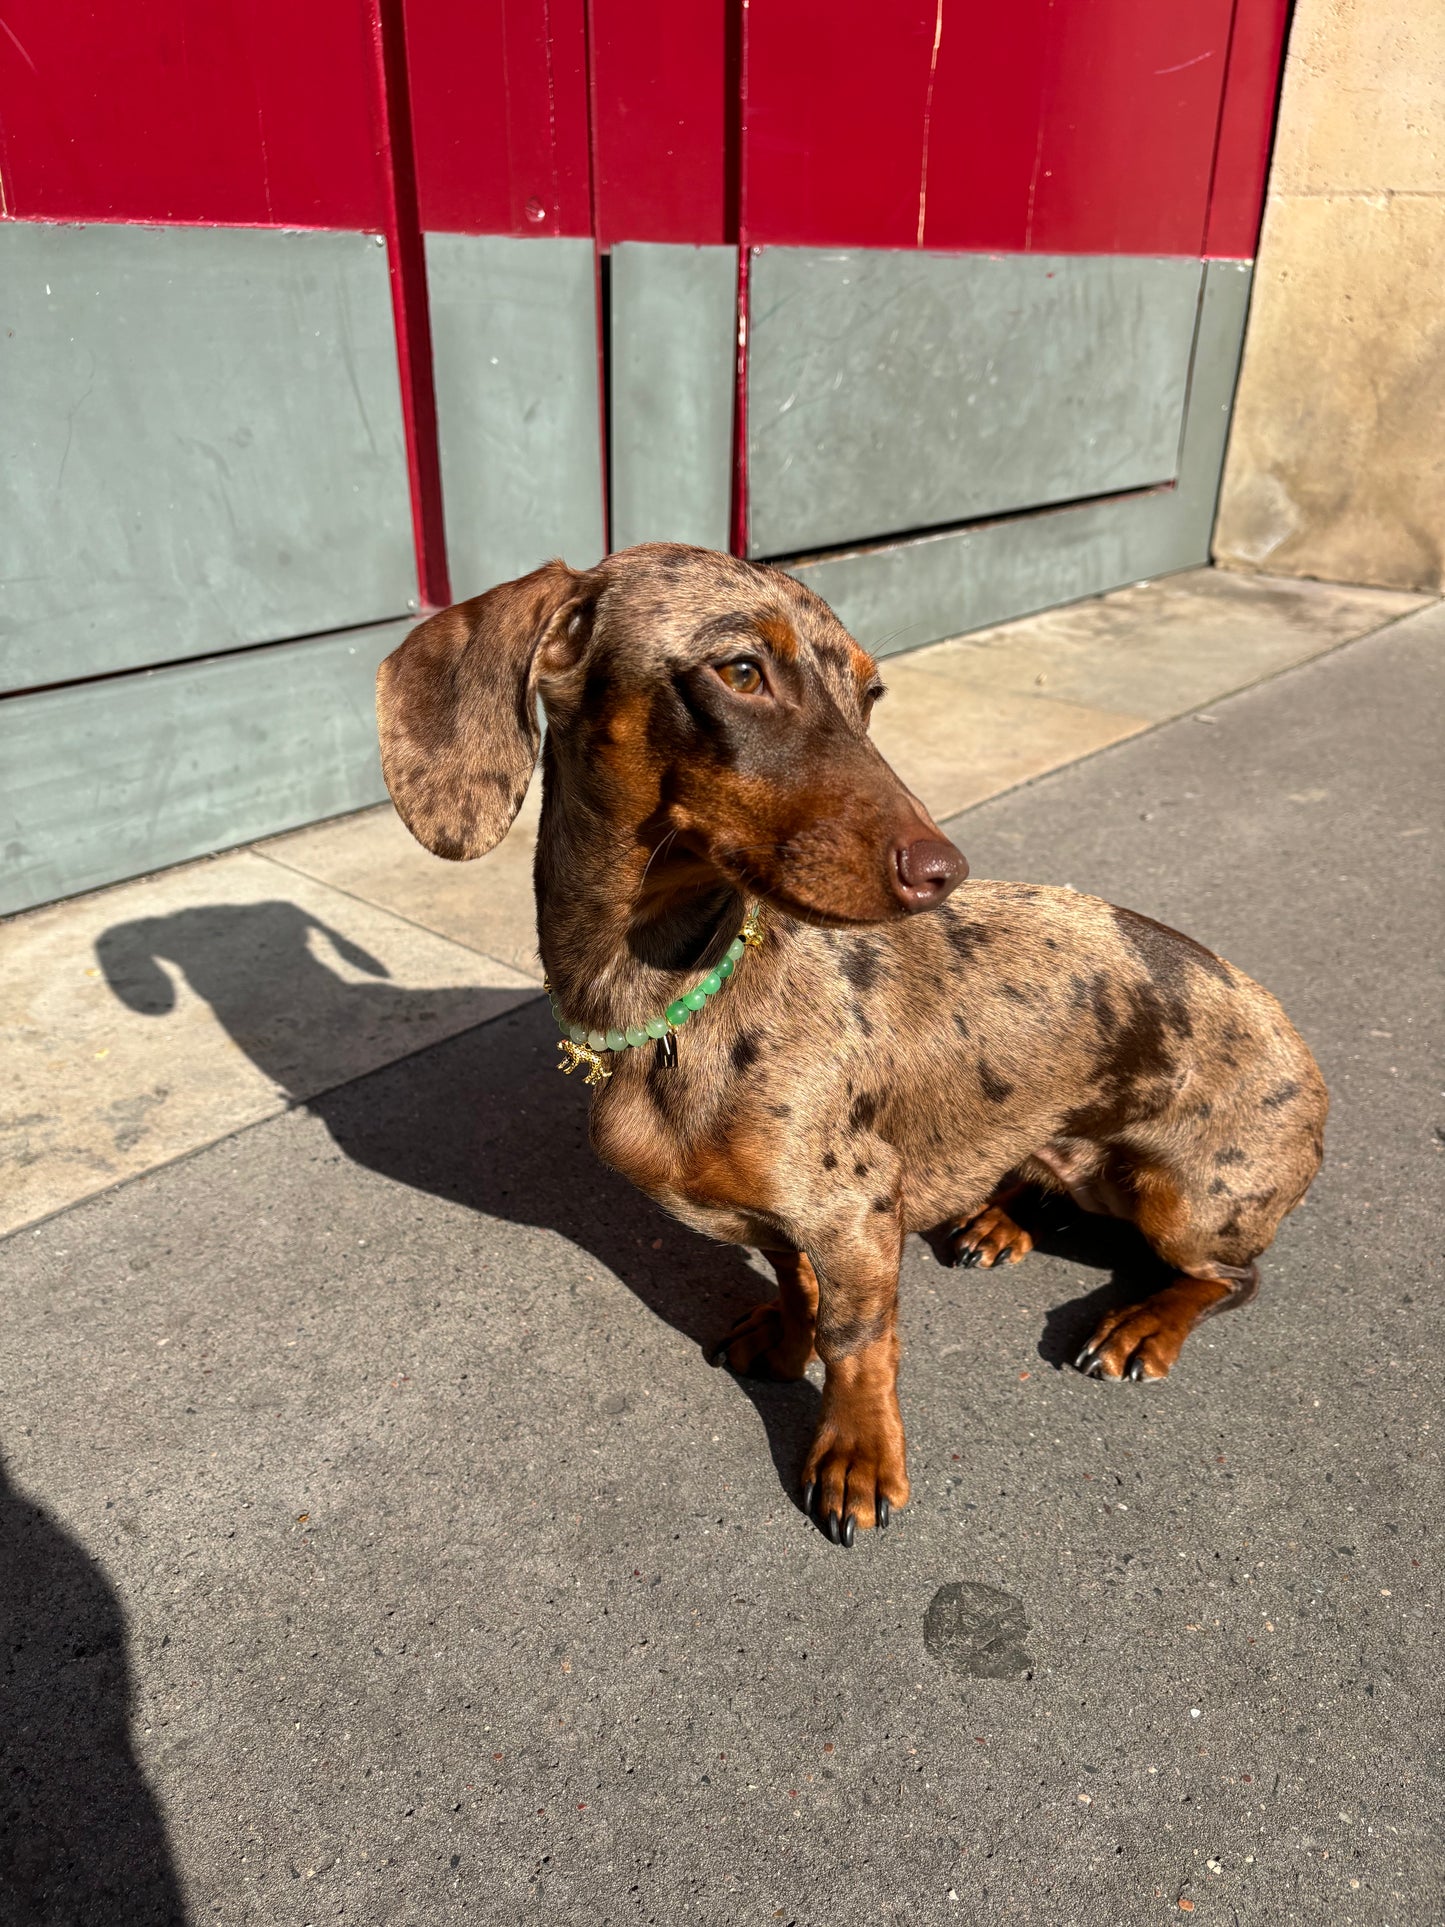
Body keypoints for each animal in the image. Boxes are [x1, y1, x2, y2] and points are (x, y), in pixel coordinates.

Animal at [379, 543, 1333, 1549]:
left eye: (870, 693)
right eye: (741, 671)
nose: (942, 872)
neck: (677, 1005)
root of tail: (1307, 1062)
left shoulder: (855, 1210)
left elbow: (854, 1341)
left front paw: (858, 1455)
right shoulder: (800, 1222)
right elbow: (798, 1286)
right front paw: (783, 1335)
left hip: (1180, 1203)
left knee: (1229, 1277)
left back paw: (1141, 1325)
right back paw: (997, 1218)